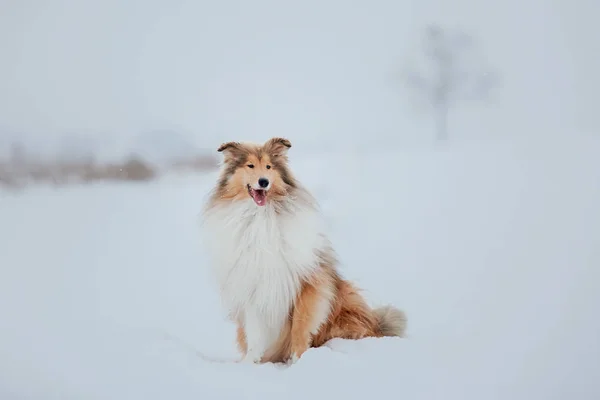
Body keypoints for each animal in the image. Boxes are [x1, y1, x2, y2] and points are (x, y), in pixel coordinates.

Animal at [199, 138, 406, 366]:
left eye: (269, 167)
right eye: (250, 165)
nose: (264, 182)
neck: (261, 217)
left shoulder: (309, 284)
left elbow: (301, 325)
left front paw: (298, 360)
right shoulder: (253, 288)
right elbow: (255, 333)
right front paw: (250, 363)